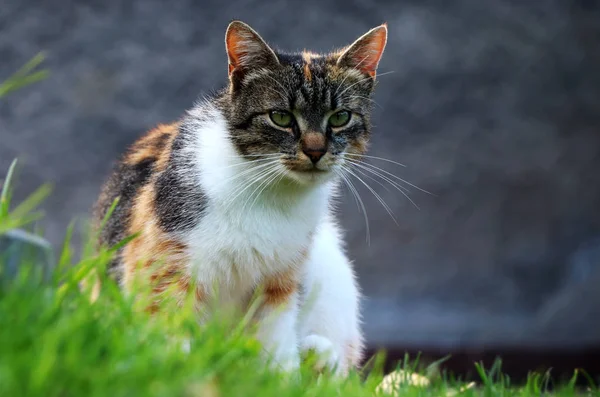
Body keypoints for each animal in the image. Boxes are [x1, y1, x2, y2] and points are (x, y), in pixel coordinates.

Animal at [91, 20, 386, 374]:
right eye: (281, 117)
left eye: (341, 117)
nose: (315, 151)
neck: (271, 195)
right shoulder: (166, 266)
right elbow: (169, 328)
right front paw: (179, 369)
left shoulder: (280, 280)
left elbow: (275, 340)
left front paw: (281, 376)